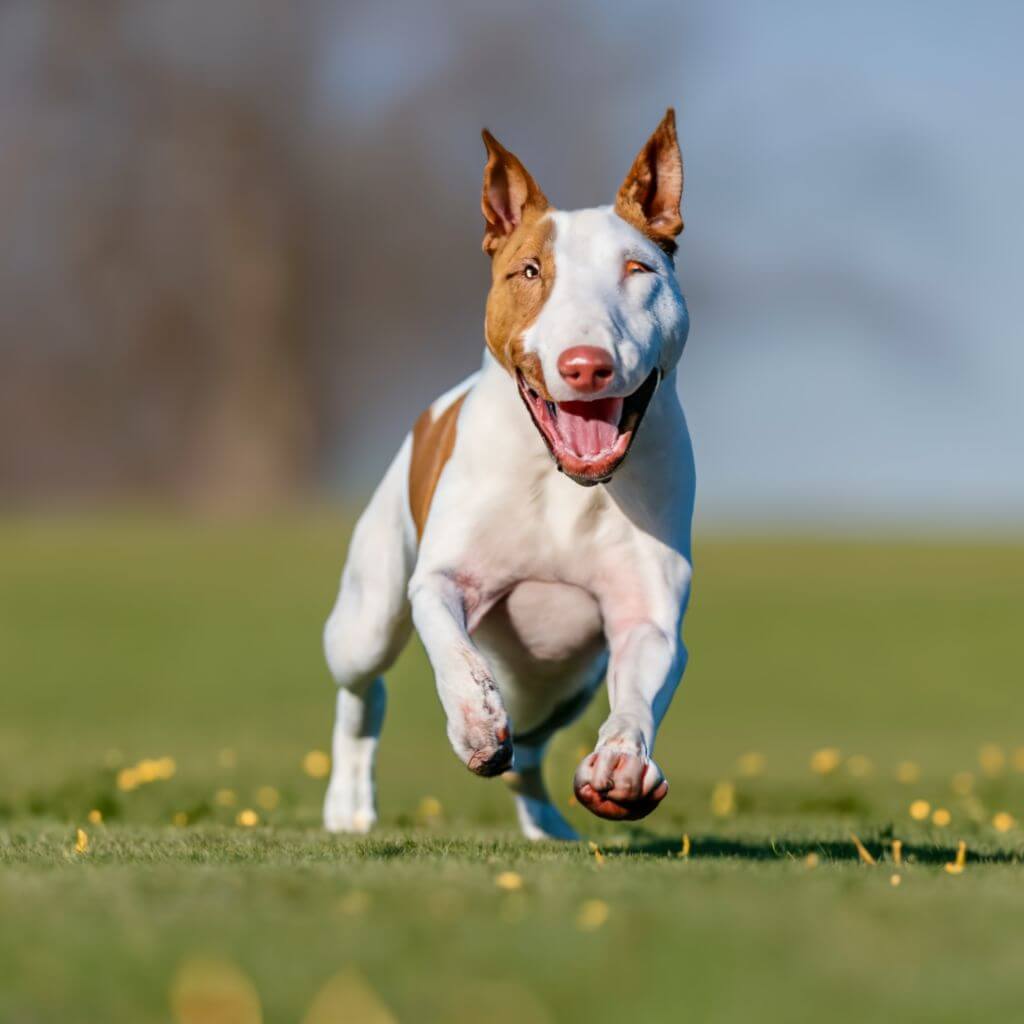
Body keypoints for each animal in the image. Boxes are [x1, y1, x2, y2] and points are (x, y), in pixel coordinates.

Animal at [325, 110, 696, 839]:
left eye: (637, 269)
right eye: (529, 270)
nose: (586, 365)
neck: (564, 481)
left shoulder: (649, 615)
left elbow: (637, 697)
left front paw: (622, 764)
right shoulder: (443, 579)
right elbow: (454, 649)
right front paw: (473, 722)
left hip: (567, 684)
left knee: (530, 749)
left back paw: (546, 821)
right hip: (366, 616)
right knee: (363, 691)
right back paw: (348, 804)